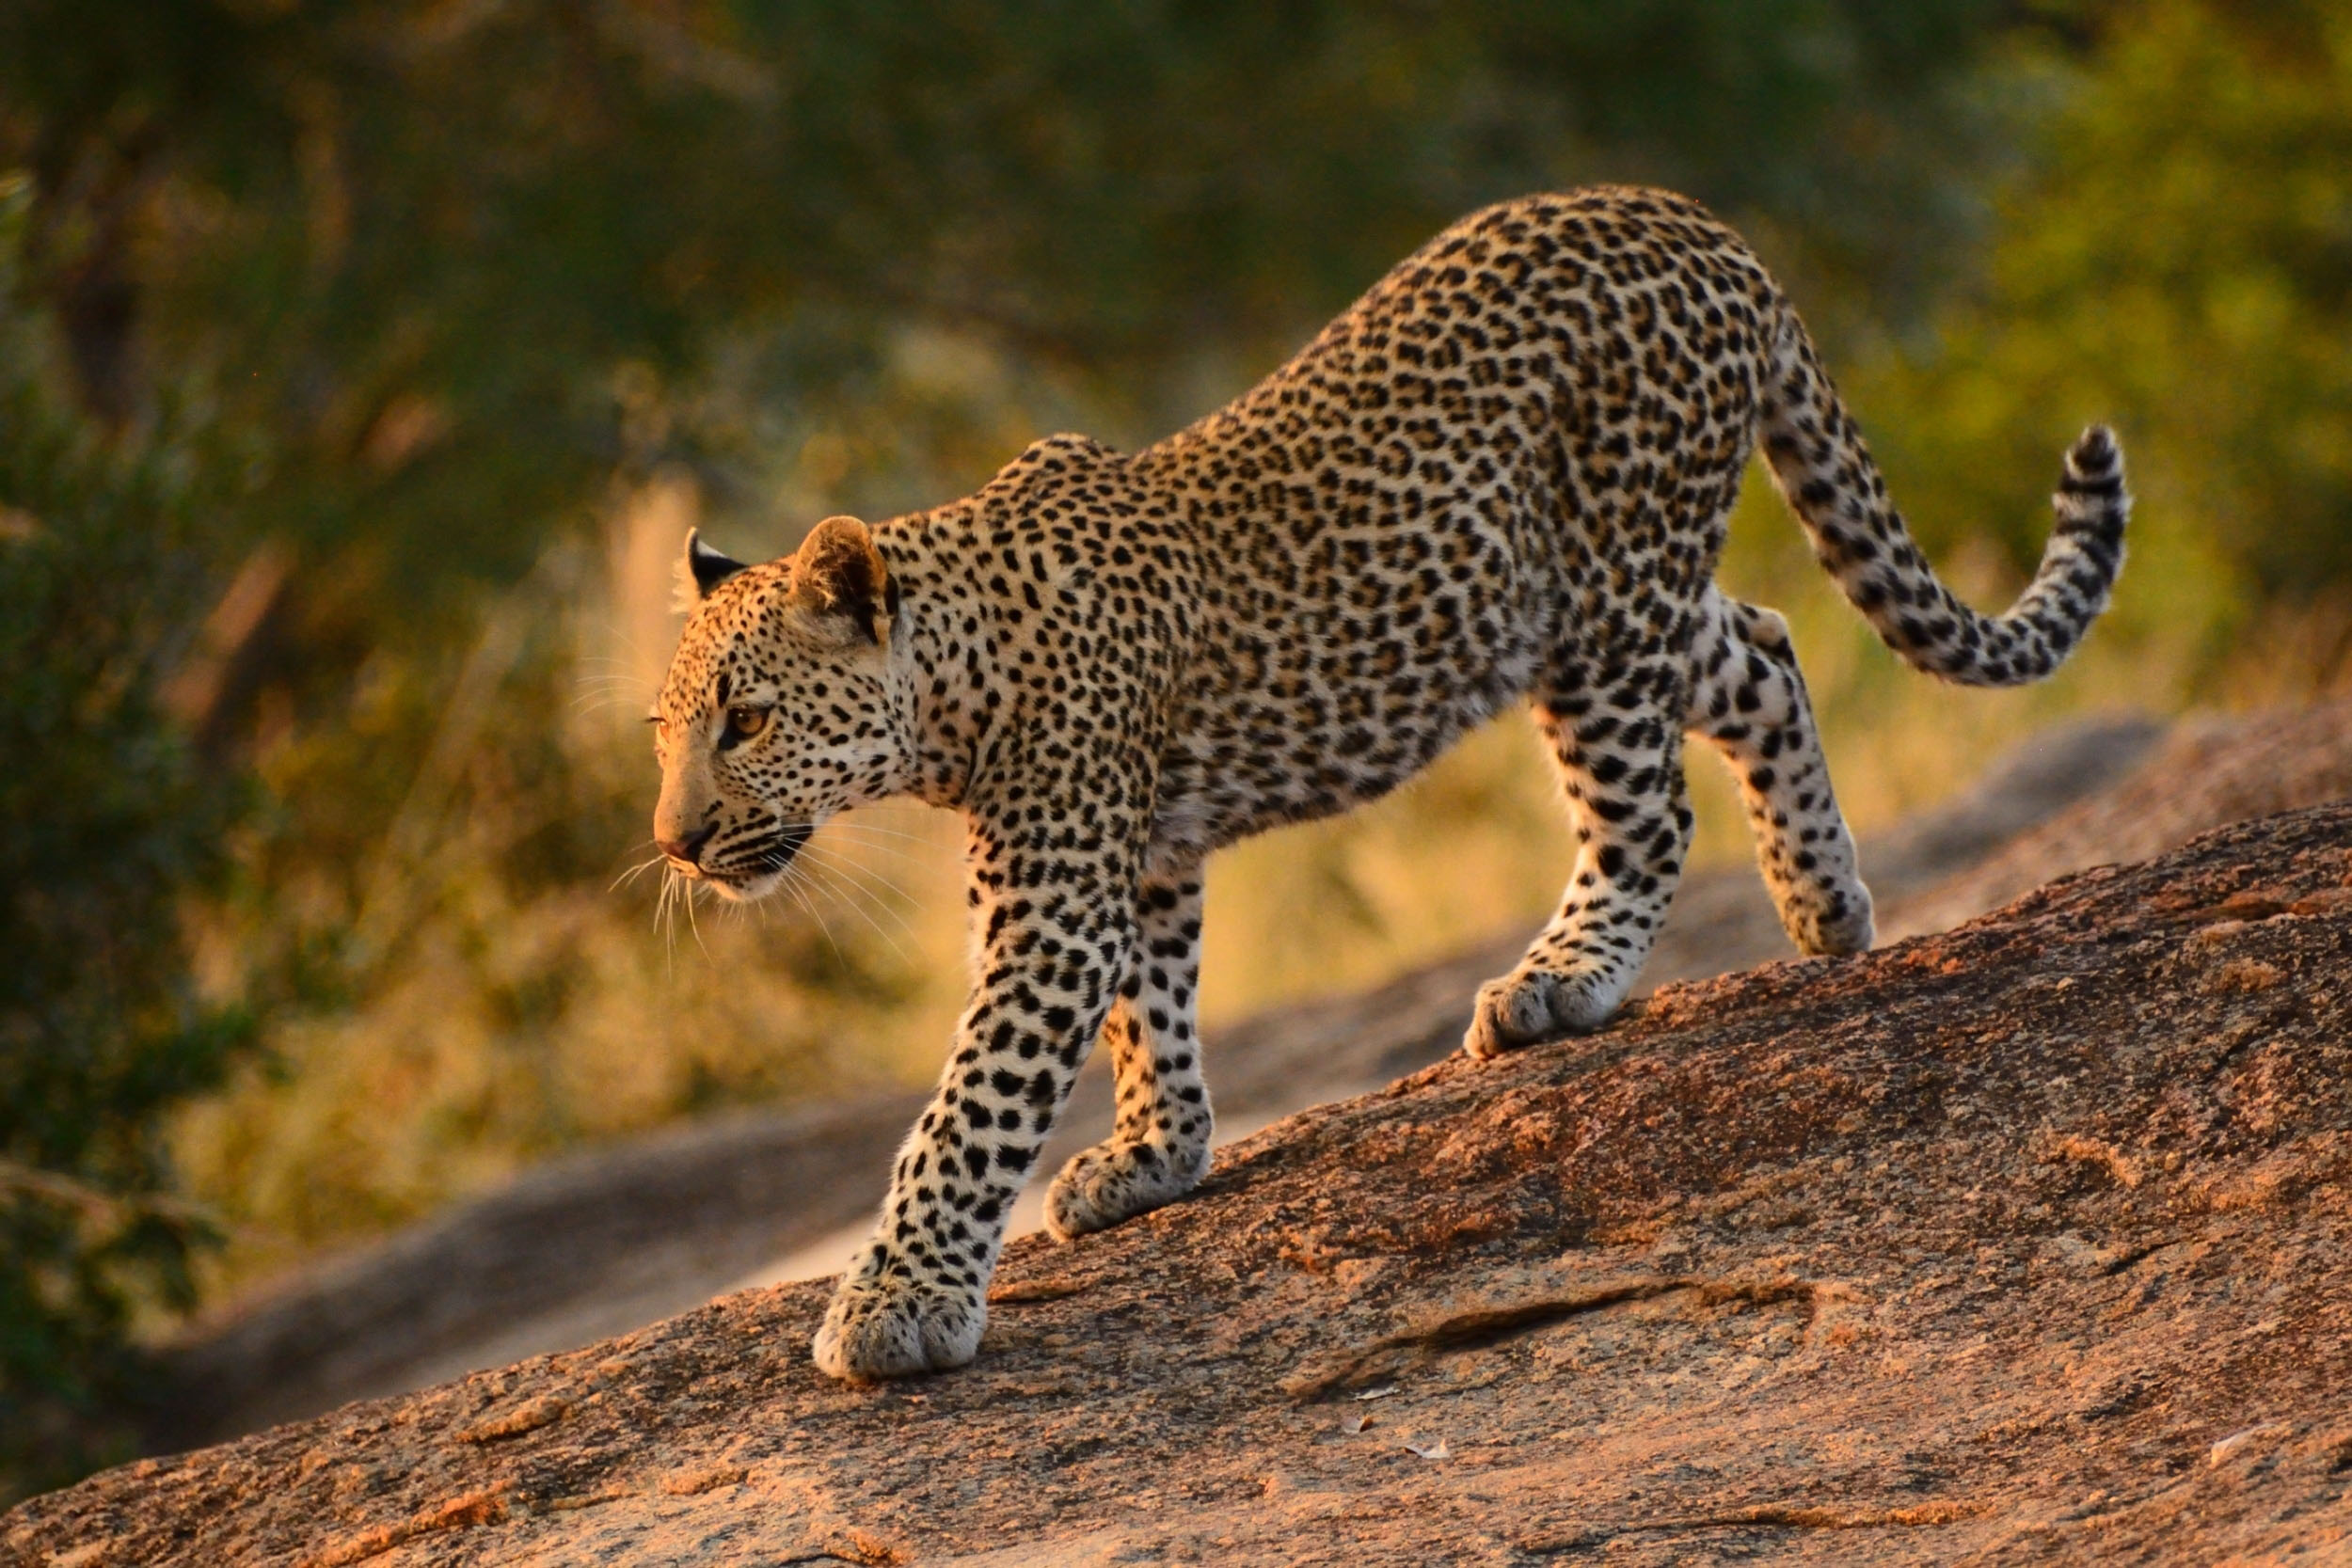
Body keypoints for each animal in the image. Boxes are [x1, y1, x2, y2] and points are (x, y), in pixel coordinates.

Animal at [649, 186, 2136, 1382]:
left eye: (747, 720)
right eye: (663, 734)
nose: (674, 840)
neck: (953, 673)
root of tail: (1695, 222)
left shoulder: (1054, 904)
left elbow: (968, 1106)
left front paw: (895, 1304)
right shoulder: (1141, 860)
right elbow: (1152, 1009)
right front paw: (1157, 1152)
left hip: (1601, 605)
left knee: (1647, 809)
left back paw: (1564, 980)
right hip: (1615, 602)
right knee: (1764, 649)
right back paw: (1825, 906)